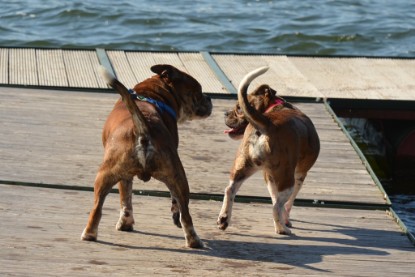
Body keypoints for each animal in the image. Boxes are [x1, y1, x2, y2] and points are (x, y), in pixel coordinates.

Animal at [81, 64, 211, 248]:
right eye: (198, 92)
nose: (209, 98)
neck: (151, 93)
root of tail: (144, 130)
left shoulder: (124, 177)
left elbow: (125, 197)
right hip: (177, 177)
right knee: (185, 214)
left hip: (106, 174)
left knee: (97, 208)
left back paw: (90, 234)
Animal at [218, 66, 322, 233]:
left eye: (238, 108)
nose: (225, 113)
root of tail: (268, 124)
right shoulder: (300, 175)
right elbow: (287, 203)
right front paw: (286, 220)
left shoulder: (268, 176)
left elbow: (274, 197)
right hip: (288, 178)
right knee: (277, 206)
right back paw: (282, 230)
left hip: (243, 166)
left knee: (230, 189)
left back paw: (223, 219)